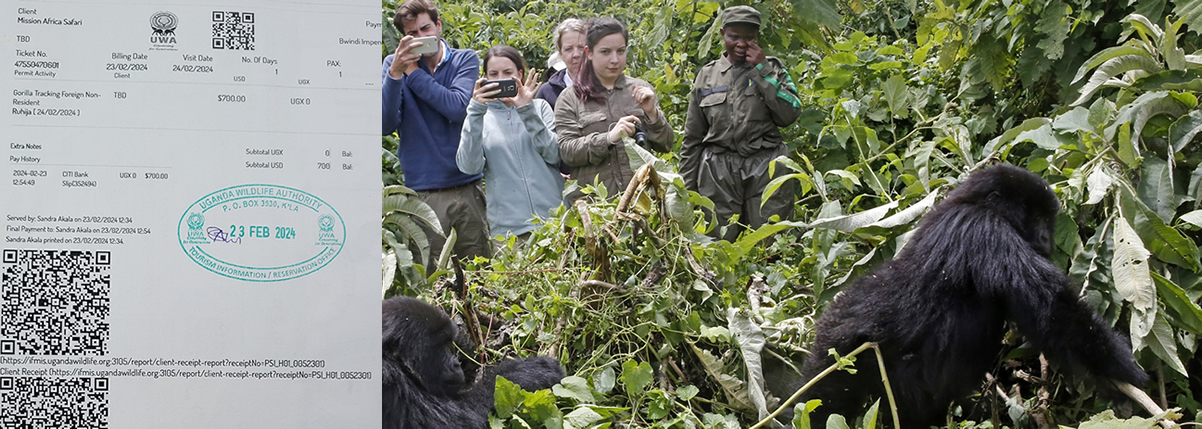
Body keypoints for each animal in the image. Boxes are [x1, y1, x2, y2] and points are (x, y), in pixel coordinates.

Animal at [382, 295, 564, 425]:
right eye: (439, 347)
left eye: (448, 345)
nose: (456, 364)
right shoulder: (389, 382)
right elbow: (462, 421)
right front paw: (527, 373)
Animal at [793, 163, 1149, 425]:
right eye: (1036, 216)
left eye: (1048, 219)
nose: (1047, 238)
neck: (972, 202)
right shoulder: (987, 230)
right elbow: (1054, 311)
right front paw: (1123, 369)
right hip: (841, 356)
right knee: (822, 401)